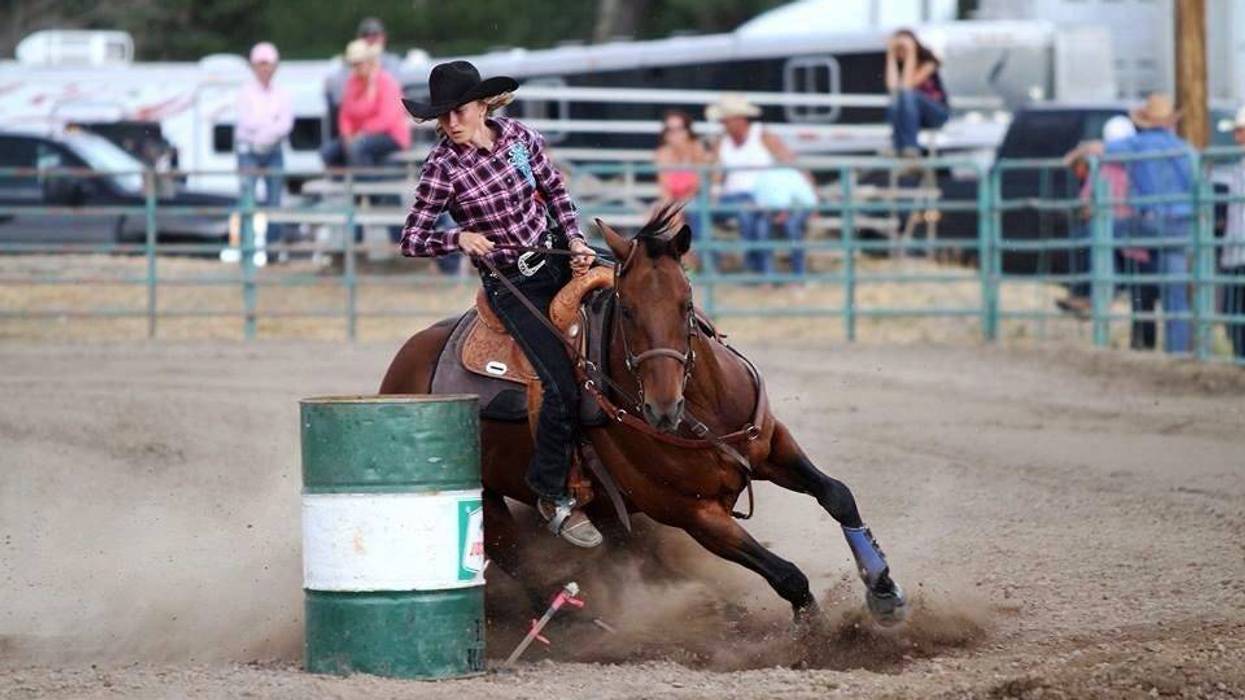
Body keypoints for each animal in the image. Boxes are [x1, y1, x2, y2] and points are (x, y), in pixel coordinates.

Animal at [378, 208, 907, 627]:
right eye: (627, 310)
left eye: (686, 302)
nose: (663, 407)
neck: (703, 410)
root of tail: (403, 363)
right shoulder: (694, 514)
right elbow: (787, 574)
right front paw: (816, 631)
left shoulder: (772, 444)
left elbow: (837, 495)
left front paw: (884, 590)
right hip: (487, 498)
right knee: (519, 560)